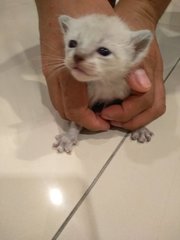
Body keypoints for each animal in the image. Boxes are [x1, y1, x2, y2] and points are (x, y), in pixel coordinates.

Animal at [53, 14, 153, 154]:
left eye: (104, 51)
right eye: (72, 43)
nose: (77, 56)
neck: (103, 82)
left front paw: (140, 127)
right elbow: (76, 120)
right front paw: (69, 136)